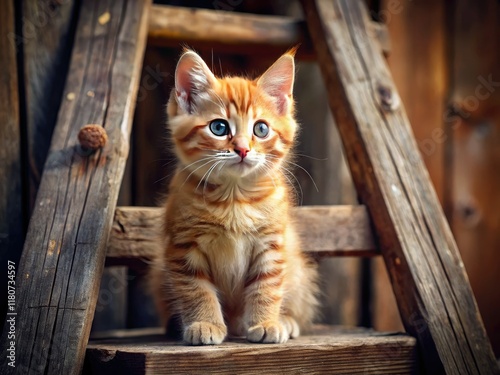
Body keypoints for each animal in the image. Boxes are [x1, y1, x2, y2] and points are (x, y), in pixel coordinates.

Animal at [150, 49, 318, 346]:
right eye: (219, 127)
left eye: (260, 129)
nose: (242, 149)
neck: (233, 200)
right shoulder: (183, 246)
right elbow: (196, 289)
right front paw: (204, 323)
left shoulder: (271, 244)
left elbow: (267, 285)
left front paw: (265, 322)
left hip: (298, 268)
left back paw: (283, 321)